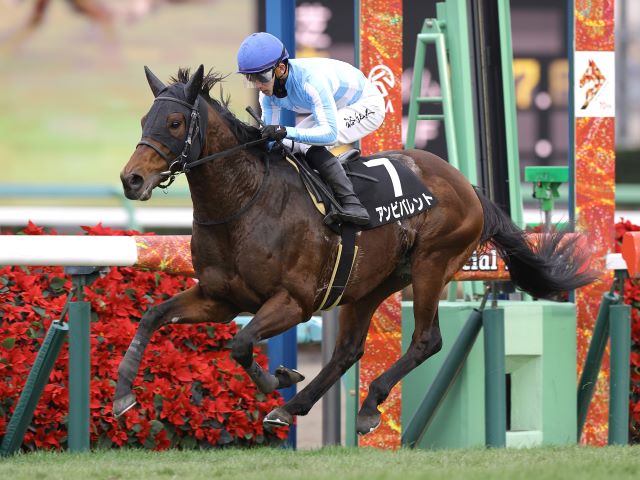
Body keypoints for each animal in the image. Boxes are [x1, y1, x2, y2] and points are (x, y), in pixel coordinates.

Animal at [116, 64, 595, 434]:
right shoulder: (220, 298)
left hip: (431, 265)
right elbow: (153, 316)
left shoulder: (294, 302)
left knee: (427, 340)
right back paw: (293, 407)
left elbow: (241, 342)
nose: (131, 179)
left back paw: (364, 407)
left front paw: (277, 378)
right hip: (367, 284)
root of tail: (467, 185)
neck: (244, 203)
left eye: (175, 123)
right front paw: (122, 395)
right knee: (348, 350)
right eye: (142, 120)